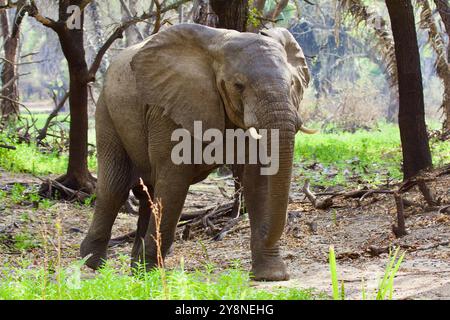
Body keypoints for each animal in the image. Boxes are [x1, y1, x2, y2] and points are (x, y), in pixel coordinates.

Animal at [81, 23, 312, 282]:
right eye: (238, 86)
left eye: (292, 85)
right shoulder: (168, 109)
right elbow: (173, 183)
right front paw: (152, 273)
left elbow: (258, 181)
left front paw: (271, 276)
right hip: (106, 112)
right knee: (115, 186)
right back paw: (94, 264)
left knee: (148, 191)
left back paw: (135, 270)